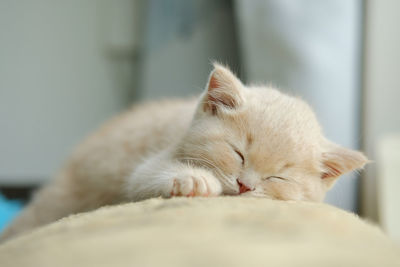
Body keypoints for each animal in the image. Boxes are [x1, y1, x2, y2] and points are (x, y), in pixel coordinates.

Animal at [0, 63, 368, 243]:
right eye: (238, 153)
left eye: (278, 176)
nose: (245, 186)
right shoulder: (149, 163)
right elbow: (146, 177)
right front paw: (196, 181)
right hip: (62, 196)